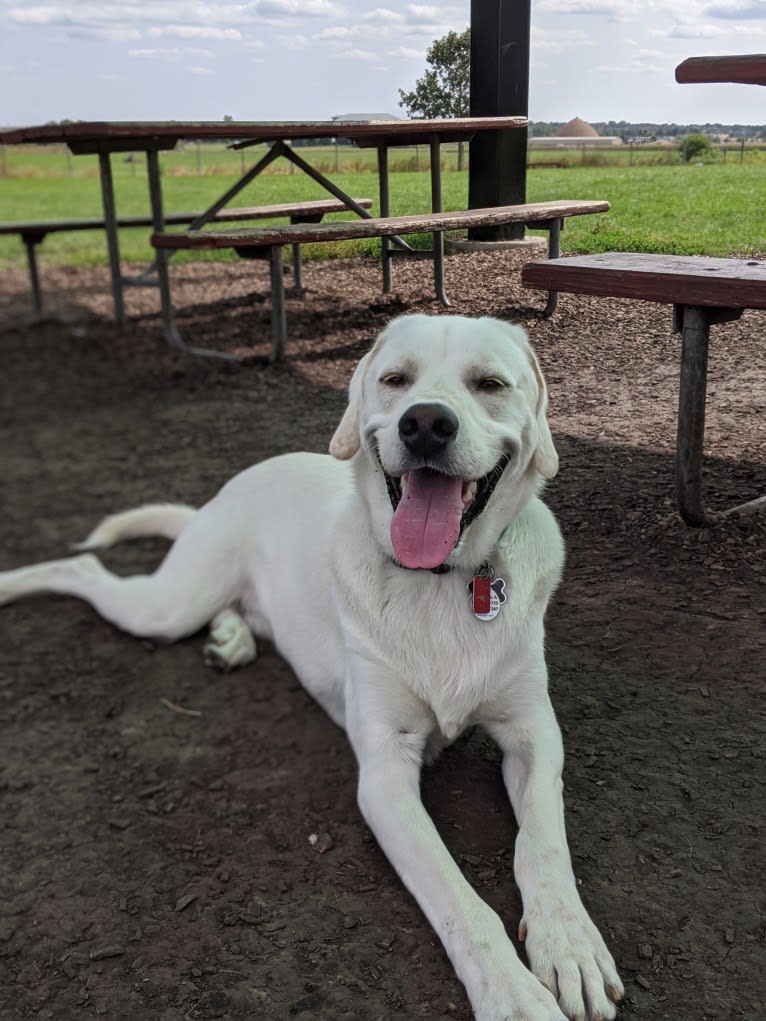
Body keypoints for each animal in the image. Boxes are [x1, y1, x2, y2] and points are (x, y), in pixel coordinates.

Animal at [1, 314, 625, 1016]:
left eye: (489, 384)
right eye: (395, 379)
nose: (425, 424)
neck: (442, 581)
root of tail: (233, 486)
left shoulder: (534, 734)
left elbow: (542, 842)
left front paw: (569, 944)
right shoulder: (384, 775)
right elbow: (461, 903)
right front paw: (513, 994)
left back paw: (232, 638)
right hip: (170, 603)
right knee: (82, 567)